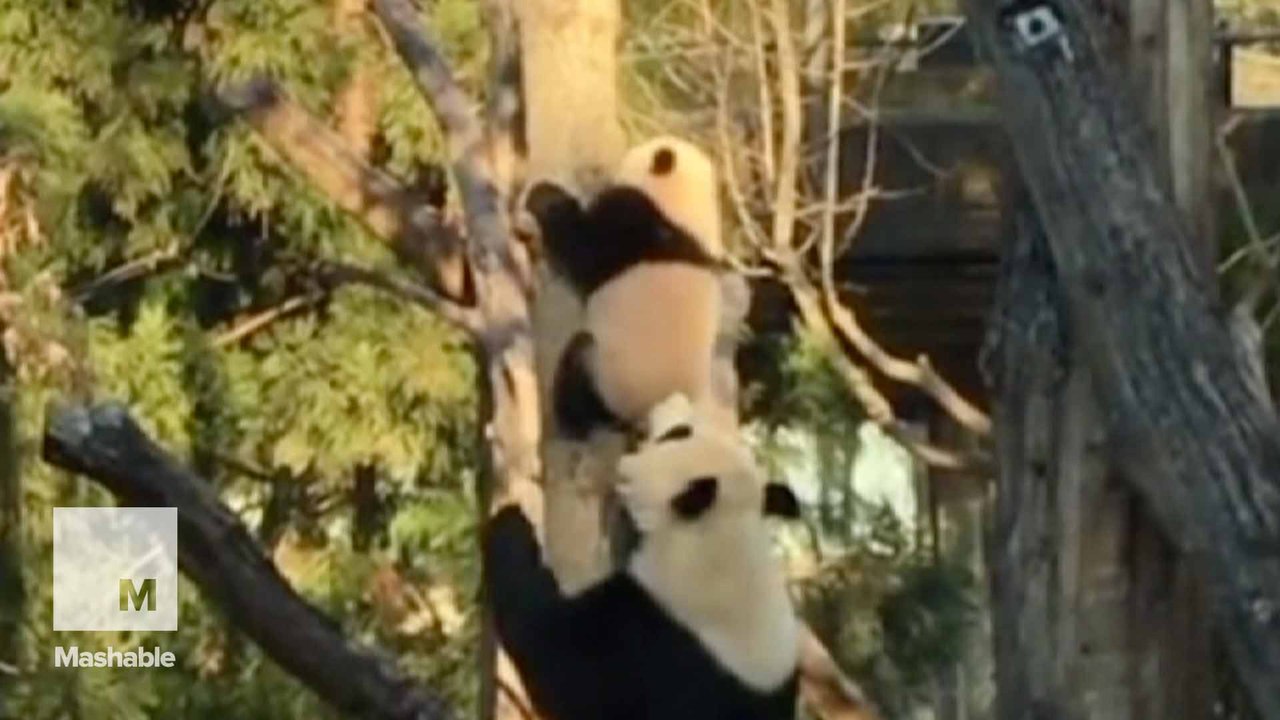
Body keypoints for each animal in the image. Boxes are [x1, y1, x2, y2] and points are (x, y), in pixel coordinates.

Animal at [523, 137, 725, 440]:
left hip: (608, 376)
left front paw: (543, 196)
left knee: (577, 363)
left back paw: (573, 422)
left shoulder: (630, 219)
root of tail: (655, 411)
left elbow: (581, 247)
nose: (601, 172)